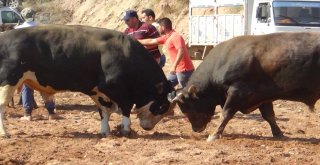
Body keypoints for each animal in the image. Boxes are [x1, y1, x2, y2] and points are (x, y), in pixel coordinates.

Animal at [0, 24, 174, 137]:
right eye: (163, 106)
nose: (148, 128)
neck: (126, 55)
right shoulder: (117, 89)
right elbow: (125, 108)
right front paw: (126, 130)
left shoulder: (98, 91)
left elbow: (104, 111)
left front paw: (105, 132)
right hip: (8, 82)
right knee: (1, 107)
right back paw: (4, 133)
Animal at [169, 32, 320, 142]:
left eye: (188, 109)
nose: (196, 129)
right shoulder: (263, 96)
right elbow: (269, 116)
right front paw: (278, 133)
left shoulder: (237, 92)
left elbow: (225, 113)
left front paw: (214, 134)